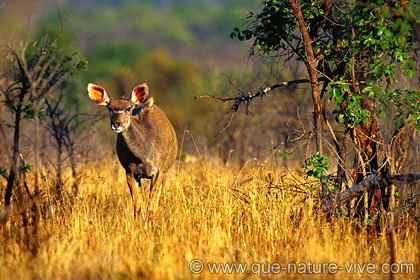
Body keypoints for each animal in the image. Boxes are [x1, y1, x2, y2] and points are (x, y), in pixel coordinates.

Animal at [88, 83, 177, 219]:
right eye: (110, 108)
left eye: (128, 108)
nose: (116, 124)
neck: (144, 156)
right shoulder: (130, 172)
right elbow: (138, 206)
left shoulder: (158, 172)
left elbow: (151, 207)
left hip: (165, 172)